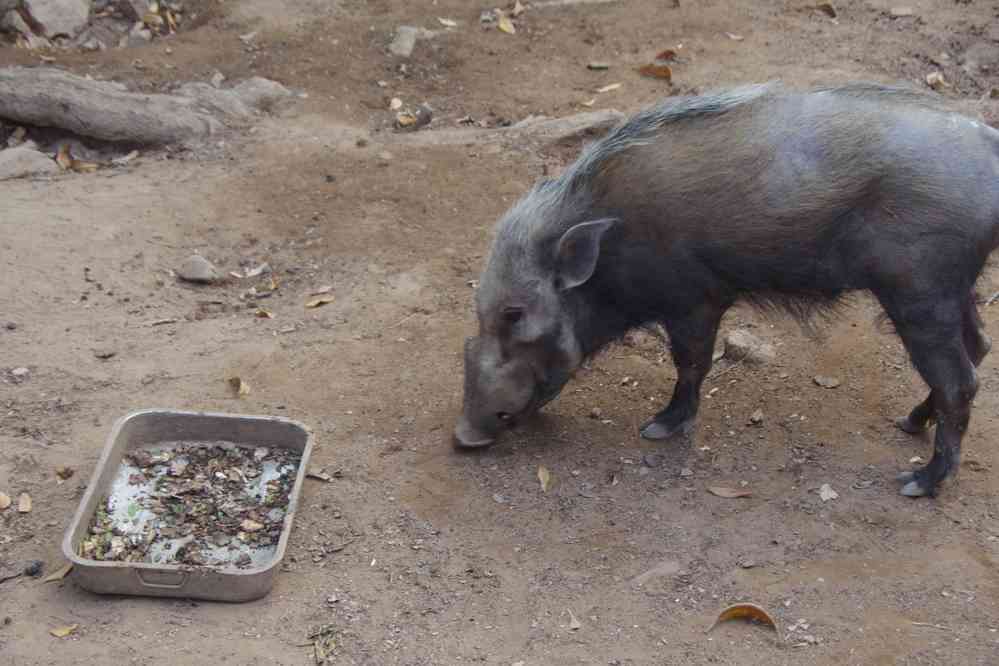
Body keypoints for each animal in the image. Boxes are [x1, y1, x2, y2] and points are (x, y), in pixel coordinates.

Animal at [458, 80, 999, 496]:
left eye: (514, 314)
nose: (464, 438)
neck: (614, 243)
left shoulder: (696, 301)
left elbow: (691, 363)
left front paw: (657, 428)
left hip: (920, 293)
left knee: (961, 381)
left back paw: (918, 483)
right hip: (953, 289)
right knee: (977, 349)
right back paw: (909, 422)